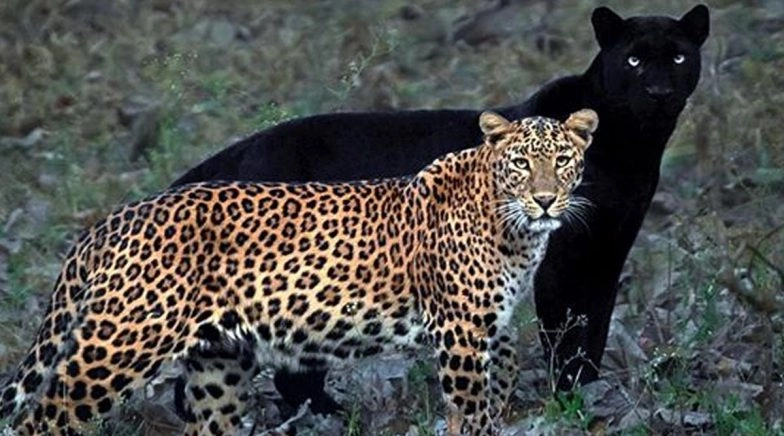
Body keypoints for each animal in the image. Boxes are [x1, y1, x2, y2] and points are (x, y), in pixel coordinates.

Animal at [0, 109, 597, 436]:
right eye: (520, 163)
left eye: (563, 161)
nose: (546, 200)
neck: (516, 230)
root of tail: (114, 218)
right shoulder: (461, 332)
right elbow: (471, 412)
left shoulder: (487, 328)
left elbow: (498, 389)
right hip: (116, 346)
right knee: (40, 418)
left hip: (218, 366)